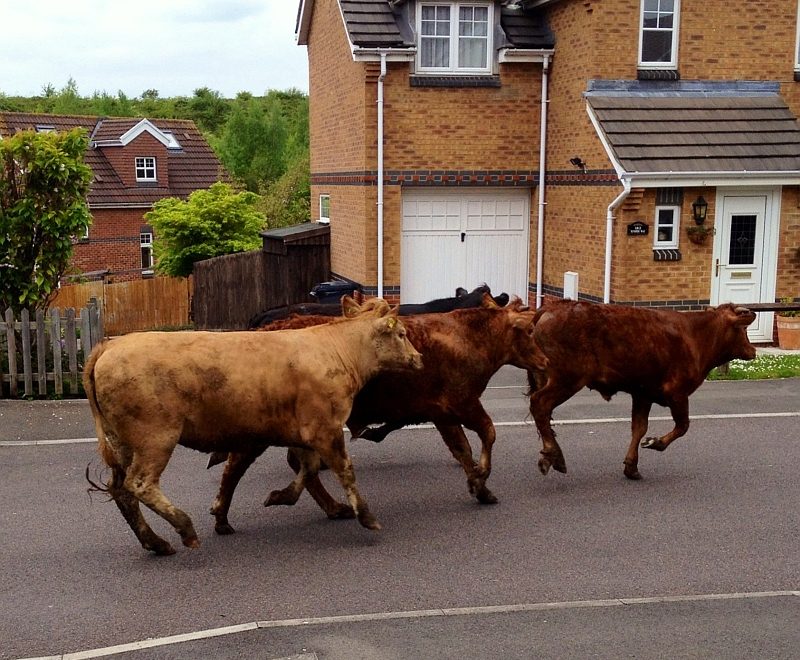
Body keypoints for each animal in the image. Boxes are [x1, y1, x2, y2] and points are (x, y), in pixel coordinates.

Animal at [85, 302, 424, 556]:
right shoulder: (324, 429)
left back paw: (155, 542)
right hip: (155, 438)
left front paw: (280, 496)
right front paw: (366, 516)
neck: (337, 349)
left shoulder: (303, 431)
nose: (419, 358)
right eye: (402, 333)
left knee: (121, 490)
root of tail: (110, 346)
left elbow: (308, 469)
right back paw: (184, 527)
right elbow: (344, 471)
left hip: (123, 442)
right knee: (139, 484)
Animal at [208, 296, 552, 532]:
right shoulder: (464, 403)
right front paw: (482, 477)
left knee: (297, 464)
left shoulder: (443, 413)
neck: (470, 338)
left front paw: (480, 487)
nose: (546, 361)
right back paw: (222, 516)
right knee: (237, 465)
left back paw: (333, 508)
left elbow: (462, 450)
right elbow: (488, 433)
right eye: (529, 330)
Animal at [524, 300, 756, 480]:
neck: (695, 335)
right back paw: (555, 456)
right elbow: (682, 426)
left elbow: (639, 427)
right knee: (540, 404)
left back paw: (548, 456)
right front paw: (655, 443)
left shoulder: (643, 394)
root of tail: (552, 307)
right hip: (567, 380)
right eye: (743, 330)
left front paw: (631, 466)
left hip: (548, 378)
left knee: (543, 413)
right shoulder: (677, 393)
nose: (753, 350)